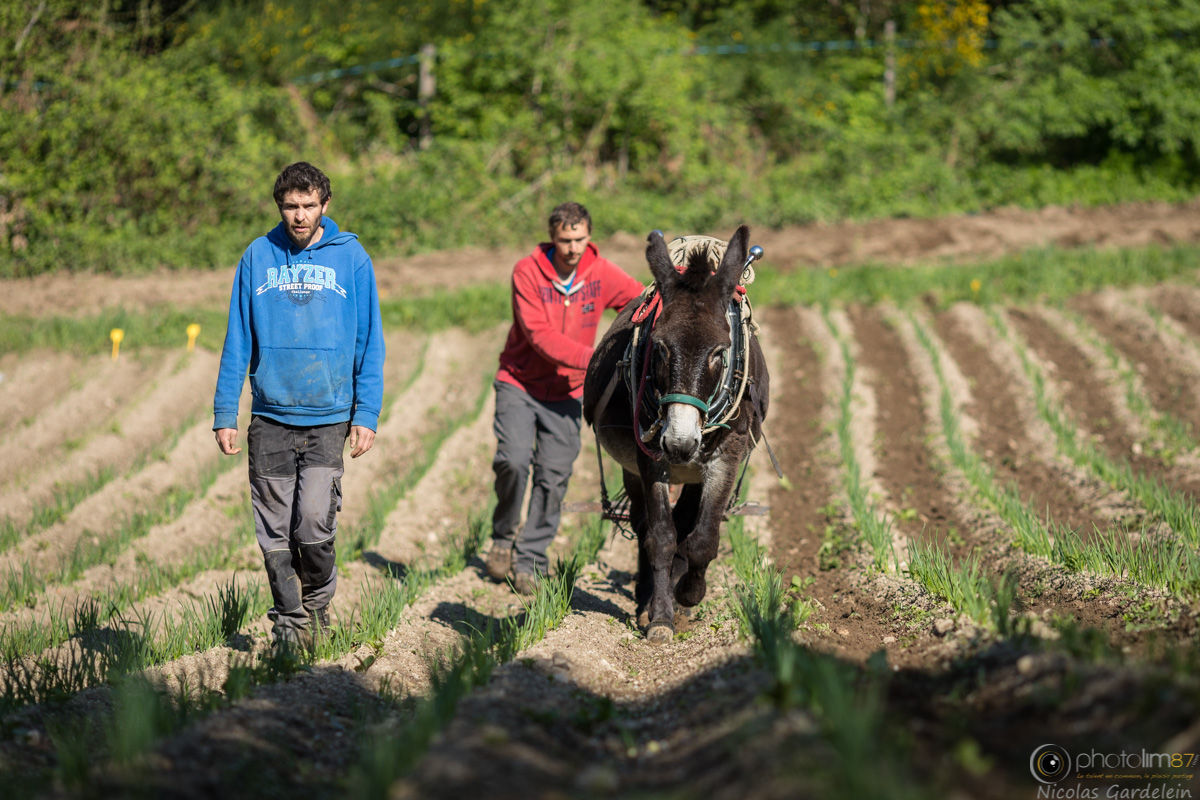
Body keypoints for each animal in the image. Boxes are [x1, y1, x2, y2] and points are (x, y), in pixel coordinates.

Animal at [582, 226, 769, 644]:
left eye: (720, 352)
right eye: (660, 348)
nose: (680, 444)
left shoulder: (726, 456)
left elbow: (702, 539)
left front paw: (688, 593)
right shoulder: (650, 459)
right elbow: (660, 537)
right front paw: (660, 617)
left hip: (697, 472)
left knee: (688, 522)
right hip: (633, 470)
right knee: (642, 524)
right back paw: (646, 598)